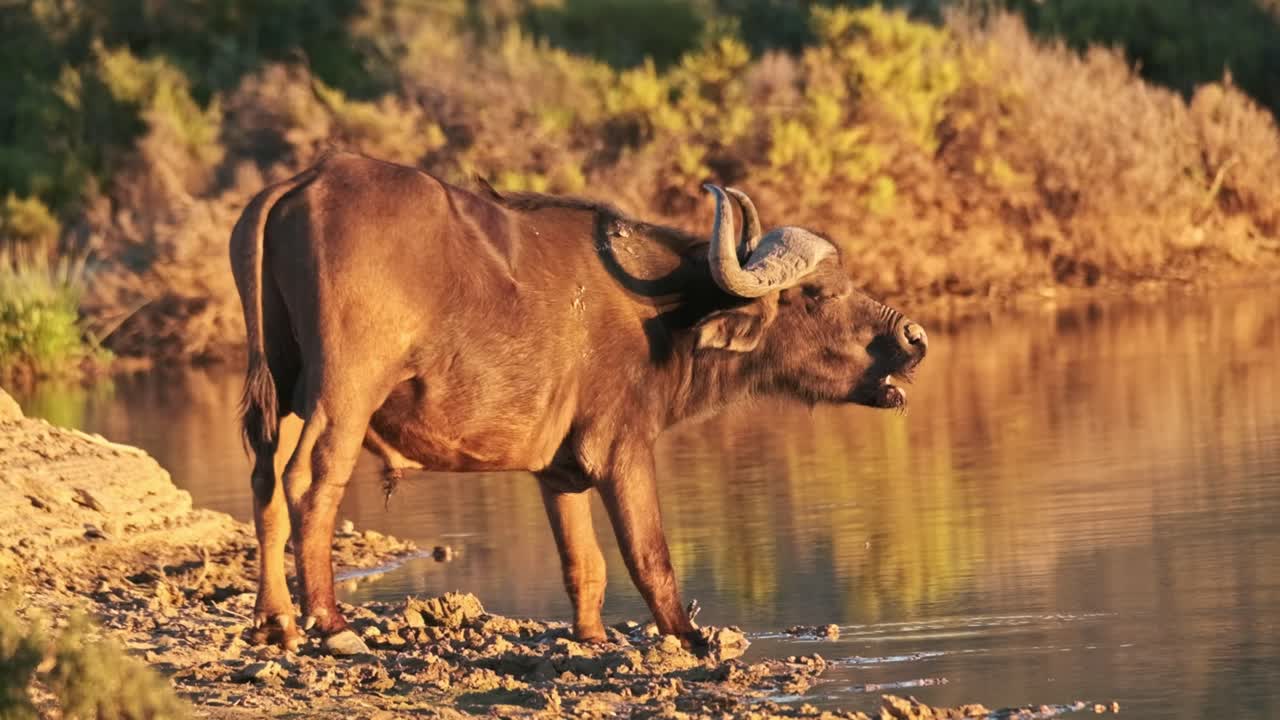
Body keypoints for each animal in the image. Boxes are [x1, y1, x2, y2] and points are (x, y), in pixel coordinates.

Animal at [230, 151, 927, 654]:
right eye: (821, 294)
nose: (913, 338)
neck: (664, 312)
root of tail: (306, 183)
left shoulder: (557, 470)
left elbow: (584, 562)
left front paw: (590, 637)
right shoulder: (623, 449)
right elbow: (649, 554)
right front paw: (691, 638)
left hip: (283, 391)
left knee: (265, 485)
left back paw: (275, 622)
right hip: (344, 392)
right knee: (309, 482)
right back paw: (330, 624)